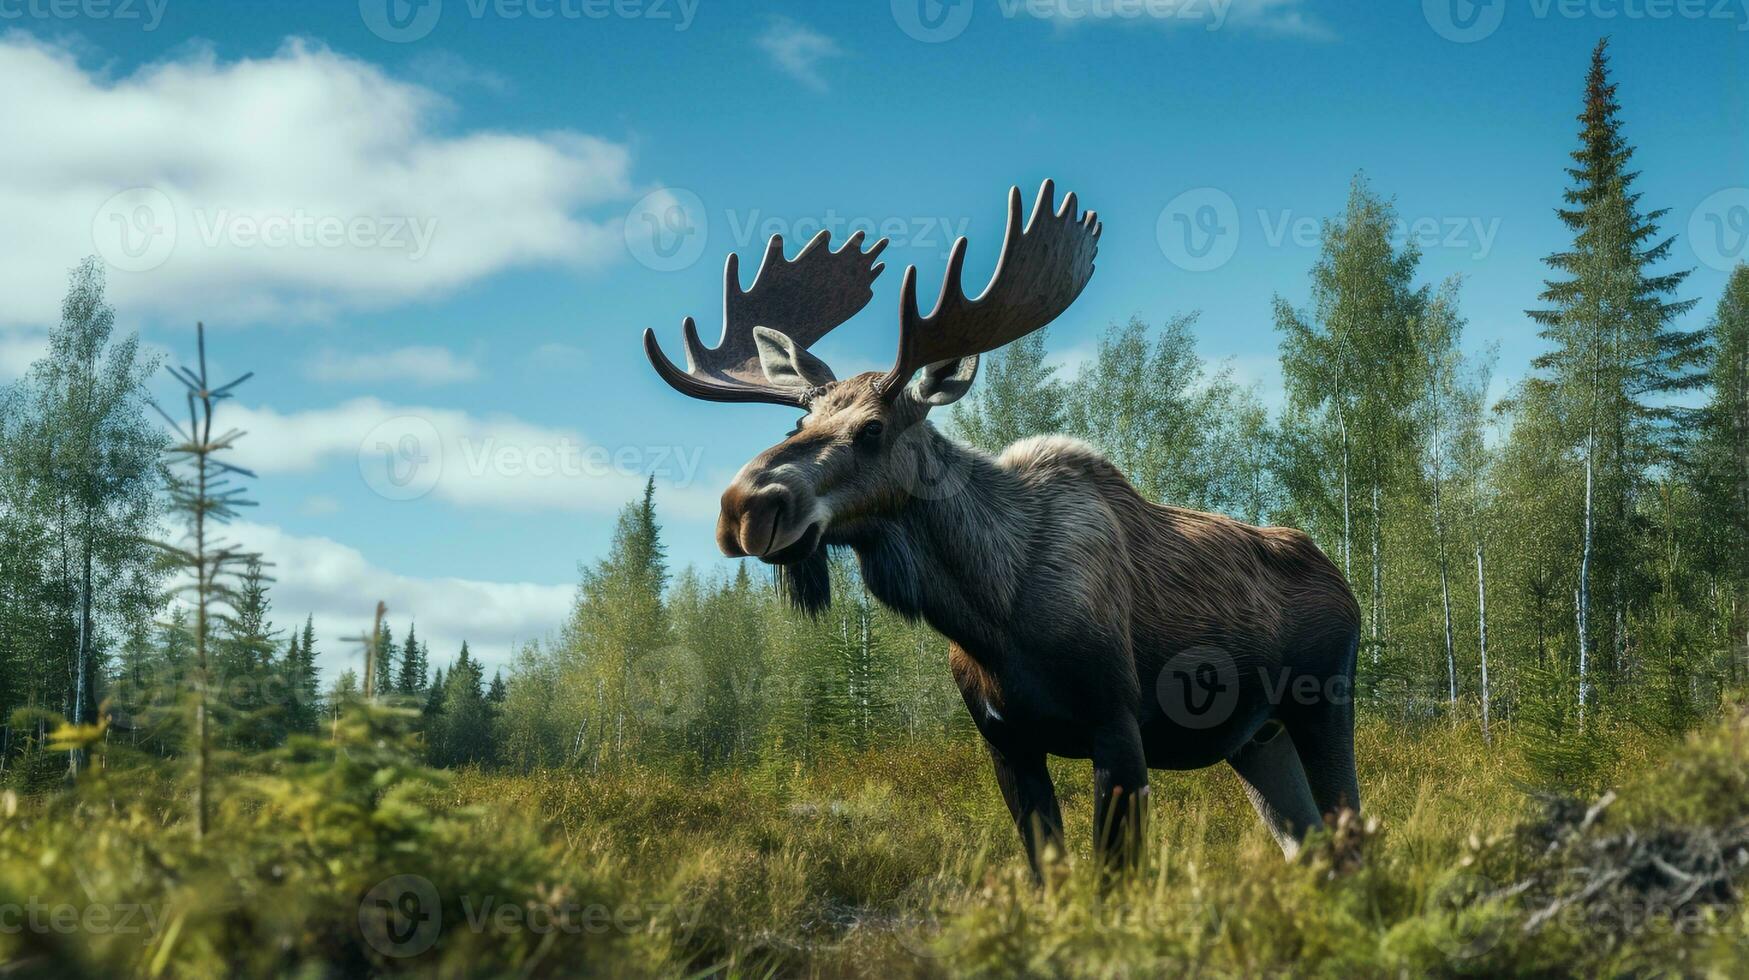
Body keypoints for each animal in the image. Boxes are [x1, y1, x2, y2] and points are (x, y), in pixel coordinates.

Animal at [643, 180, 1364, 868]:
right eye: (798, 422)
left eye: (872, 429)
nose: (744, 506)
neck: (991, 611)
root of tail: (1344, 583)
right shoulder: (1003, 740)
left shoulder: (1116, 721)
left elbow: (1112, 877)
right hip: (1256, 739)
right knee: (1310, 849)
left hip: (1322, 703)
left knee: (1351, 835)